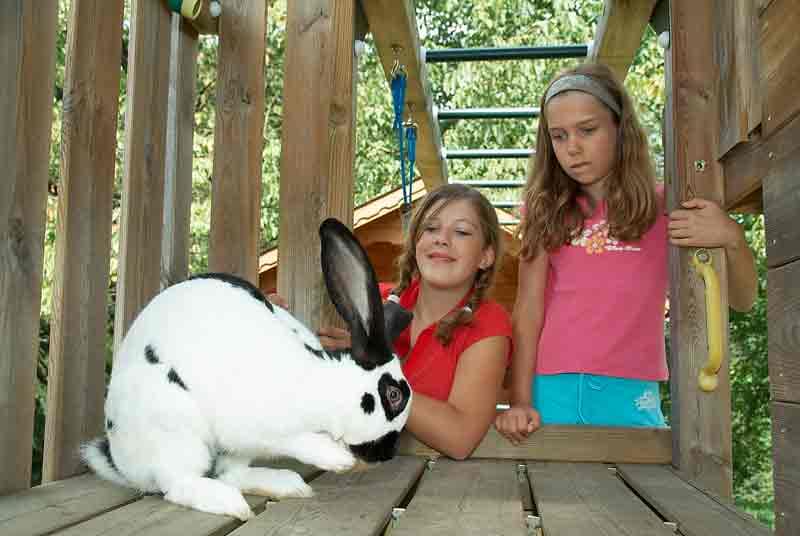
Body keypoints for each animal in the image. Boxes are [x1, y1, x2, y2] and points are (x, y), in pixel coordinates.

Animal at [82, 218, 414, 520]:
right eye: (394, 395)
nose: (386, 454)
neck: (324, 386)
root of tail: (120, 460)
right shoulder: (254, 425)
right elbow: (296, 440)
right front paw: (337, 459)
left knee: (231, 474)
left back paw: (286, 485)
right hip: (173, 428)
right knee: (179, 483)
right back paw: (227, 502)